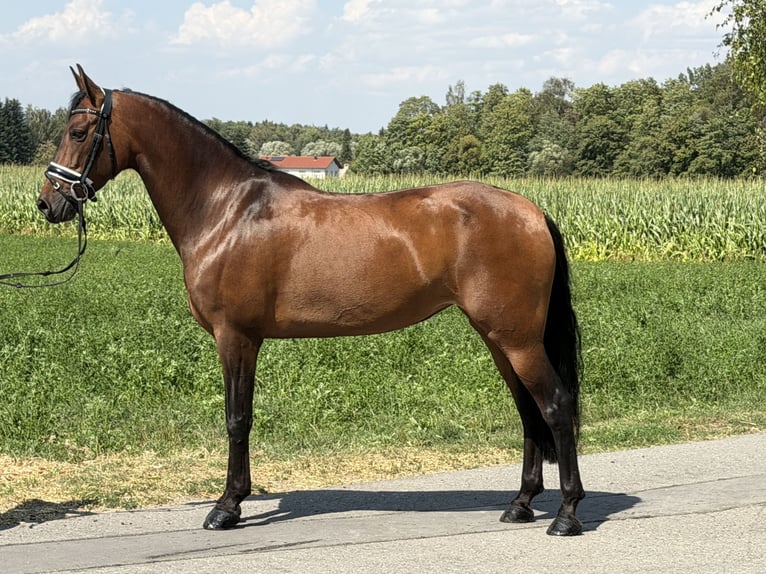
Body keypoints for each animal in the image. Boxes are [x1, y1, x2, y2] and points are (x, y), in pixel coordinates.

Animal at [37, 65, 585, 536]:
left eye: (80, 133)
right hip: (499, 337)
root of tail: (532, 211)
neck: (227, 209)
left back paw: (566, 514)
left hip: (517, 339)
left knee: (555, 406)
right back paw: (520, 505)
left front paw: (227, 507)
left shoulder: (235, 337)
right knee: (528, 411)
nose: (48, 202)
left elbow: (237, 419)